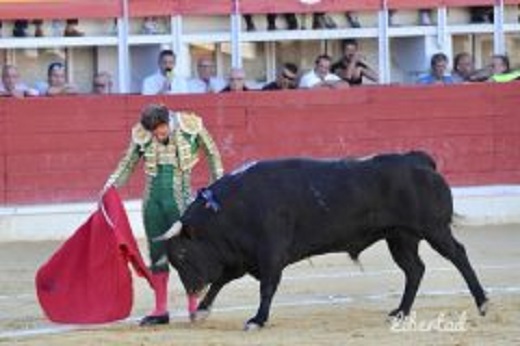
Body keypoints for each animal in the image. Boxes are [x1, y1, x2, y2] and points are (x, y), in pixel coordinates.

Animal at [161, 151, 488, 330]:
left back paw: (482, 302)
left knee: (458, 255)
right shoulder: (241, 258)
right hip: (400, 238)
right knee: (415, 270)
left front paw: (257, 320)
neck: (231, 209)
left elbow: (266, 287)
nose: (191, 290)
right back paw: (399, 313)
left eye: (183, 254)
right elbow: (220, 282)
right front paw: (201, 311)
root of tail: (417, 160)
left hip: (434, 229)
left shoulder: (270, 254)